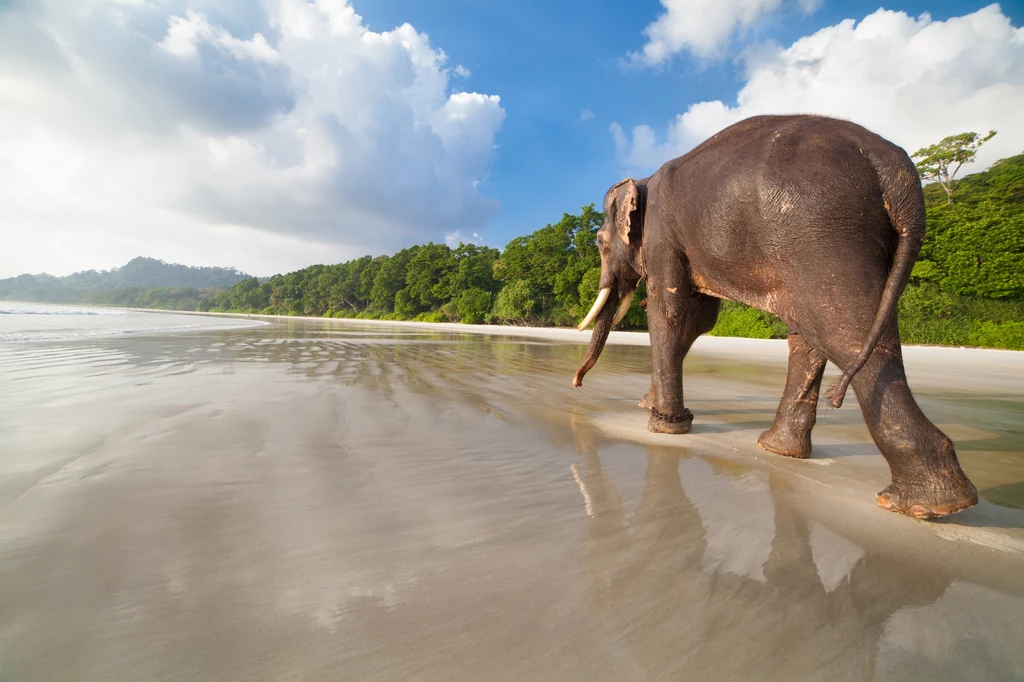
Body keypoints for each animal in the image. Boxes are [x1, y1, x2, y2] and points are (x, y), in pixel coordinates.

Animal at [573, 114, 978, 518]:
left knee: (841, 331)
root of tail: (894, 168)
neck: (642, 180)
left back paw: (926, 505)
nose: (576, 383)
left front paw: (662, 426)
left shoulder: (662, 233)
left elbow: (670, 310)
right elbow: (697, 320)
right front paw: (651, 407)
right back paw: (780, 450)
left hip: (818, 231)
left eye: (599, 243)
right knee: (815, 332)